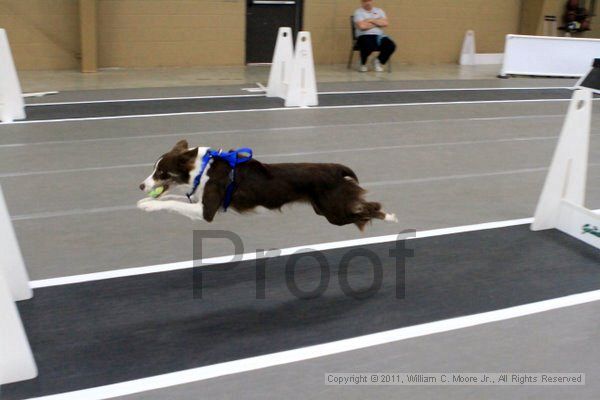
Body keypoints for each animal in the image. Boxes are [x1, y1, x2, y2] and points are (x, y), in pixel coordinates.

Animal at [138, 140, 396, 230]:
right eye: (155, 170)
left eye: (161, 172)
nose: (141, 185)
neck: (202, 169)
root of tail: (335, 168)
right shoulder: (200, 201)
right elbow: (173, 198)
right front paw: (145, 201)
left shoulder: (207, 211)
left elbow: (172, 202)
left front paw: (148, 205)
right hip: (326, 210)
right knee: (363, 207)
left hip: (334, 211)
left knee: (369, 208)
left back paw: (391, 217)